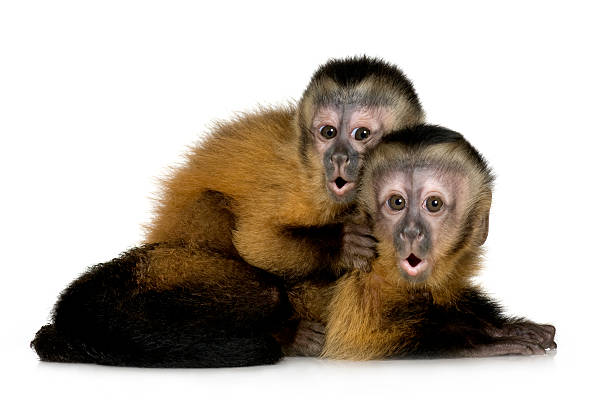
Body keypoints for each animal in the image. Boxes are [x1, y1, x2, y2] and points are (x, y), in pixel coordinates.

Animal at [286, 126, 556, 358]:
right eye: (397, 203)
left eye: (433, 204)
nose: (411, 231)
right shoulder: (365, 276)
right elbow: (355, 338)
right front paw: (482, 339)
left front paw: (499, 326)